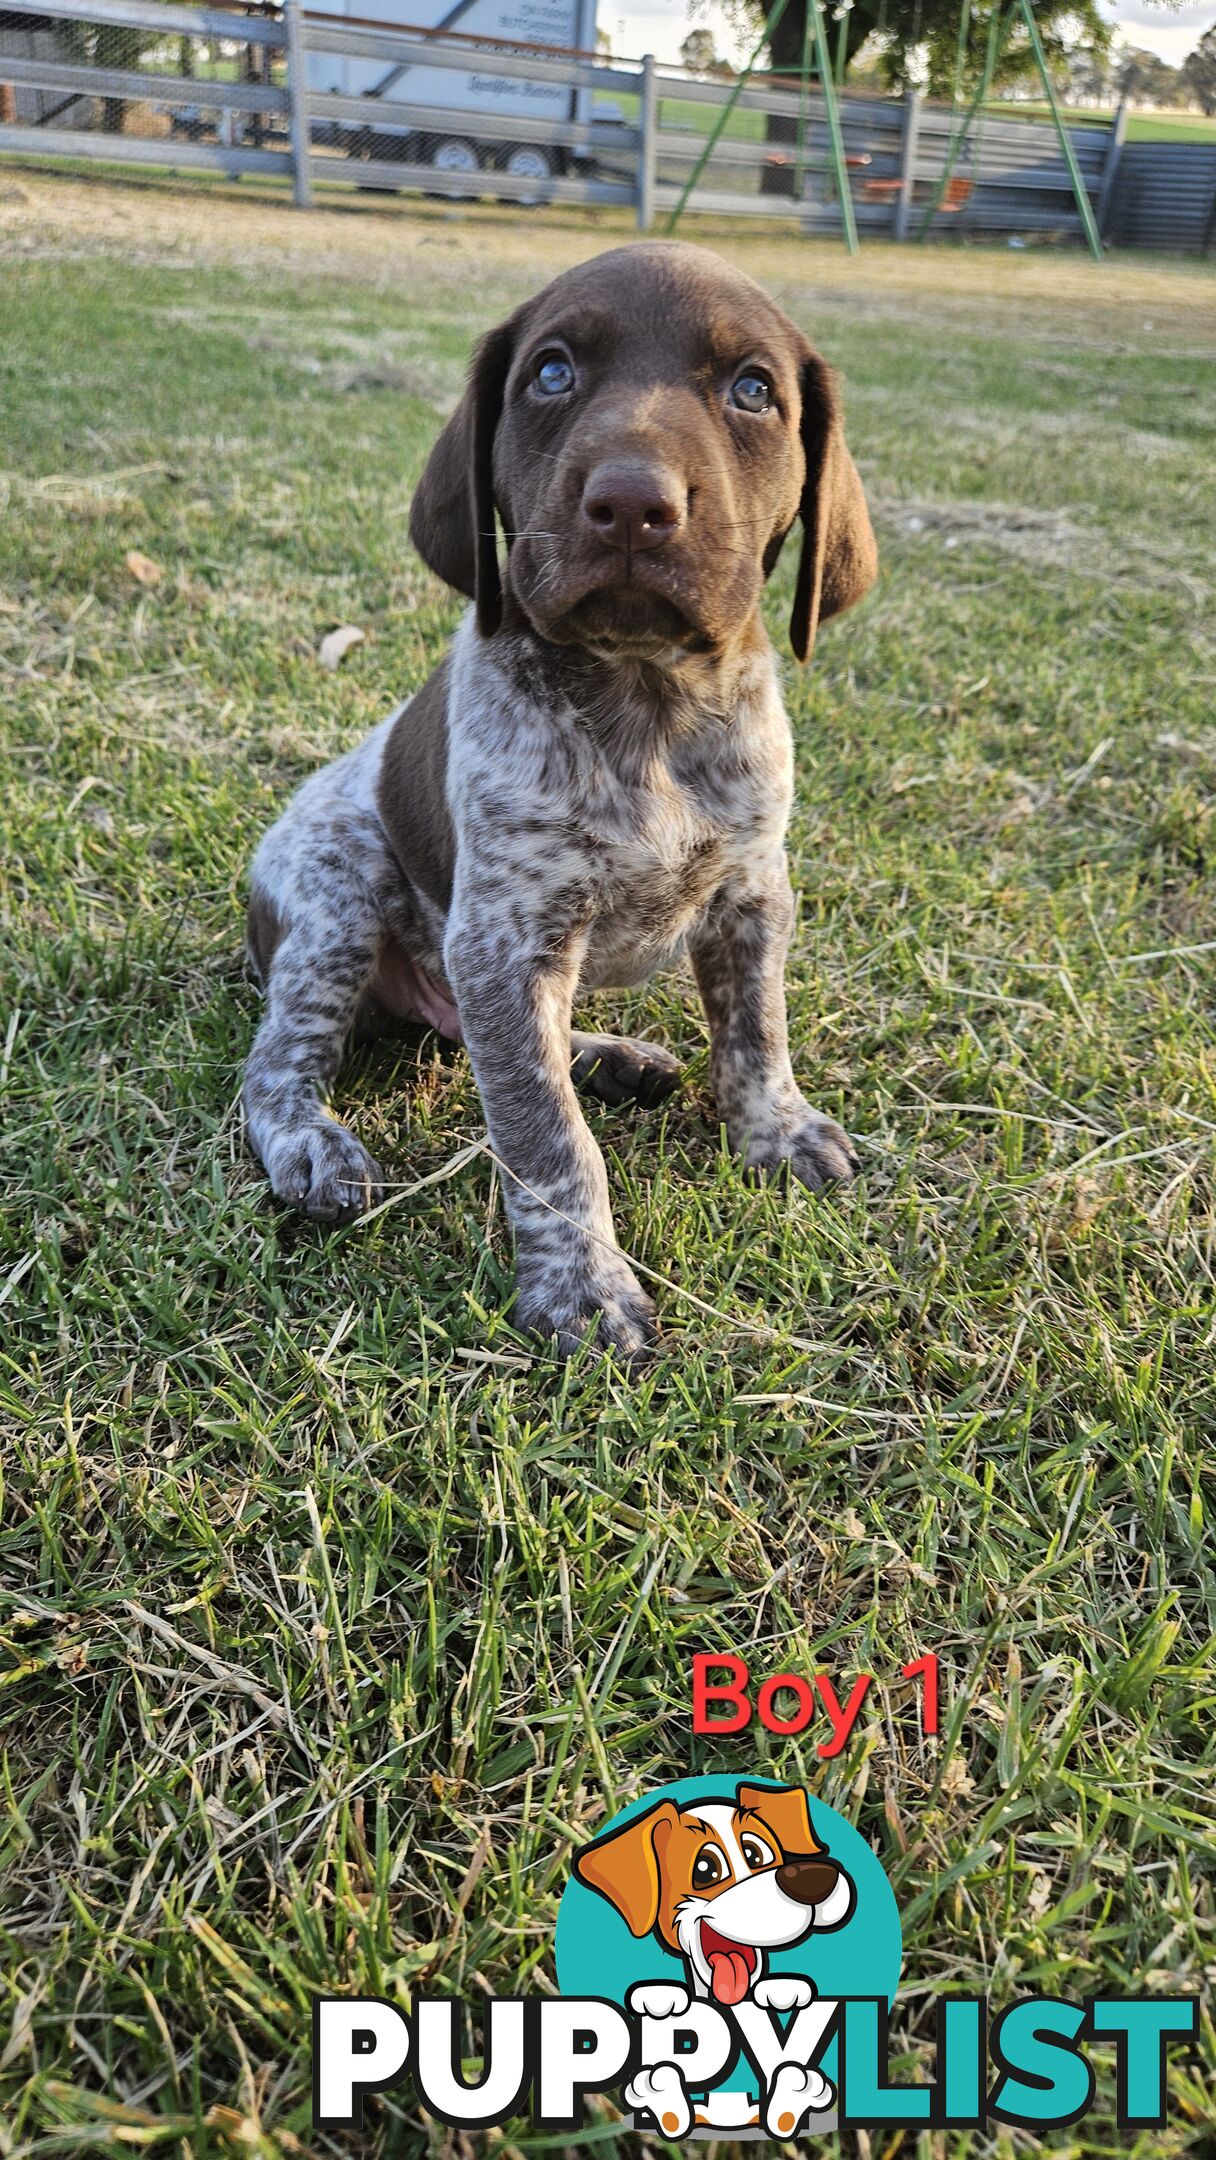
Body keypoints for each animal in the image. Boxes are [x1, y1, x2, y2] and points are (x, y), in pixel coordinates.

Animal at [245, 240, 876, 1347]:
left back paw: (609, 1056)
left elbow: (756, 1033)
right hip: (334, 902)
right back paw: (311, 1141)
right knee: (280, 1063)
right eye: (551, 373)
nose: (632, 503)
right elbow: (546, 1136)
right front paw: (581, 1282)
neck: (649, 708)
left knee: (483, 1036)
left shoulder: (753, 893)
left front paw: (778, 1130)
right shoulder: (506, 938)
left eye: (754, 390)